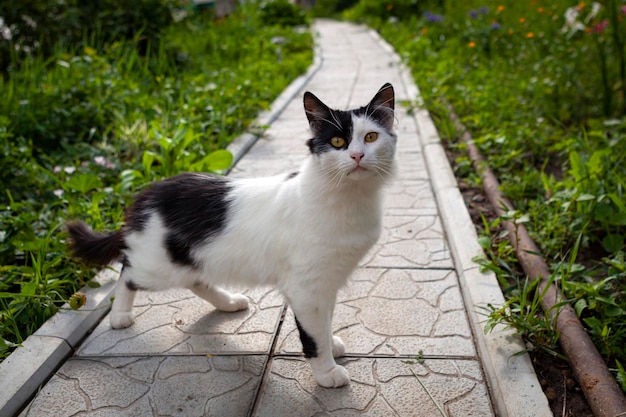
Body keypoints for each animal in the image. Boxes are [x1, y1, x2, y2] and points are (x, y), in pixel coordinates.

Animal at [67, 82, 394, 386]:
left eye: (371, 137)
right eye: (337, 141)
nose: (357, 155)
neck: (348, 200)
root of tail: (147, 193)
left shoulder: (328, 279)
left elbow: (325, 321)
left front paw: (331, 343)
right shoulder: (306, 288)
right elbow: (313, 335)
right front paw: (327, 372)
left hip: (191, 259)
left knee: (195, 279)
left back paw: (228, 302)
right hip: (158, 267)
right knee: (127, 271)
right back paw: (119, 315)